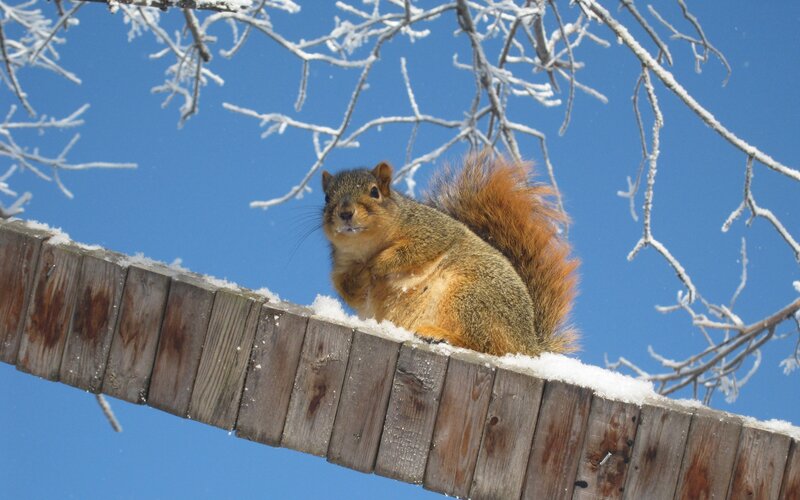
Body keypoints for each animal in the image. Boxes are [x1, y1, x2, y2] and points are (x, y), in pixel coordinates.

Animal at [321, 152, 579, 356]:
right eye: (327, 198)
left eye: (374, 192)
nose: (345, 213)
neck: (366, 246)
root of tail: (529, 344)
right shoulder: (342, 265)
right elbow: (350, 291)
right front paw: (360, 276)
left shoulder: (432, 231)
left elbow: (412, 251)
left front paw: (377, 264)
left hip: (470, 297)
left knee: (484, 344)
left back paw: (439, 334)